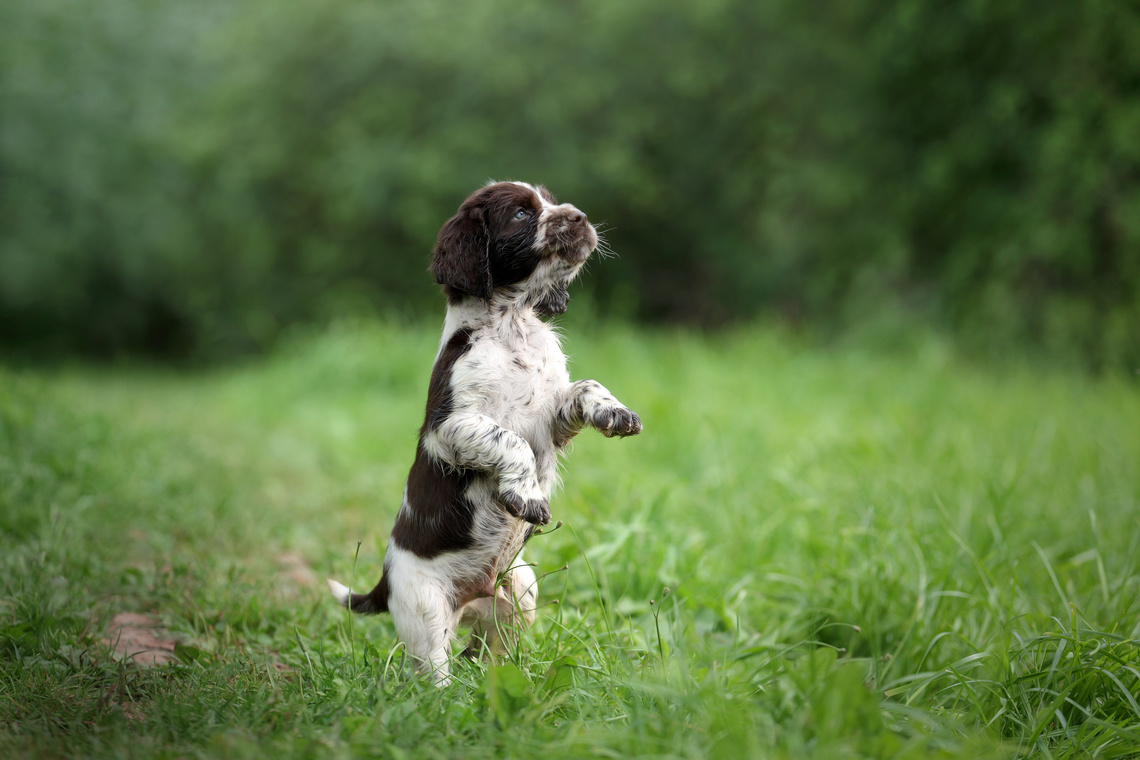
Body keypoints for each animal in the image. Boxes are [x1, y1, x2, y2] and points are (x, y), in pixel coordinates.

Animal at [330, 182, 642, 683]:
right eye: (521, 214)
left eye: (550, 199)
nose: (580, 216)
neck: (511, 326)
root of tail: (384, 579)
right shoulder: (450, 426)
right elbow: (511, 443)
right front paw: (527, 497)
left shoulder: (552, 421)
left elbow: (585, 388)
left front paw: (615, 412)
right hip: (425, 610)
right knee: (433, 672)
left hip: (521, 590)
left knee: (488, 653)